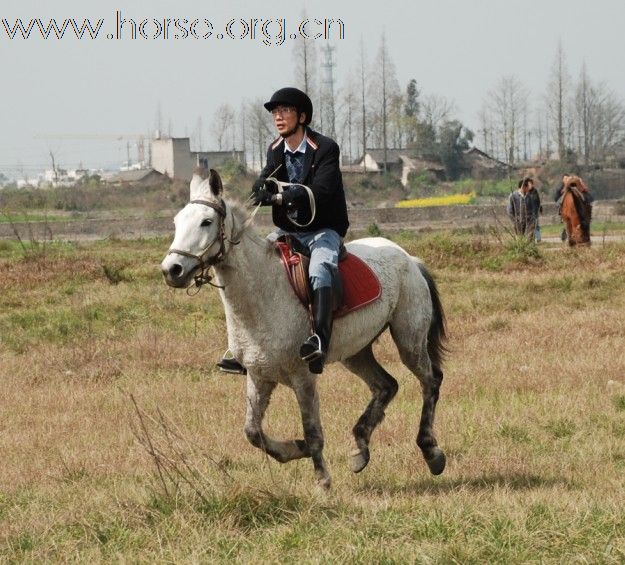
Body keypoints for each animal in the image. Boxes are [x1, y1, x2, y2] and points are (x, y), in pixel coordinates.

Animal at [158, 169, 446, 490]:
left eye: (206, 222)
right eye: (176, 222)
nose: (172, 270)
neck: (264, 294)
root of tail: (409, 258)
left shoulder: (303, 378)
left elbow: (312, 431)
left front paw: (322, 481)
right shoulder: (259, 377)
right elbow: (253, 432)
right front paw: (294, 449)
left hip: (409, 340)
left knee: (430, 381)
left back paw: (431, 451)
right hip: (356, 353)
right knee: (386, 385)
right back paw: (360, 448)